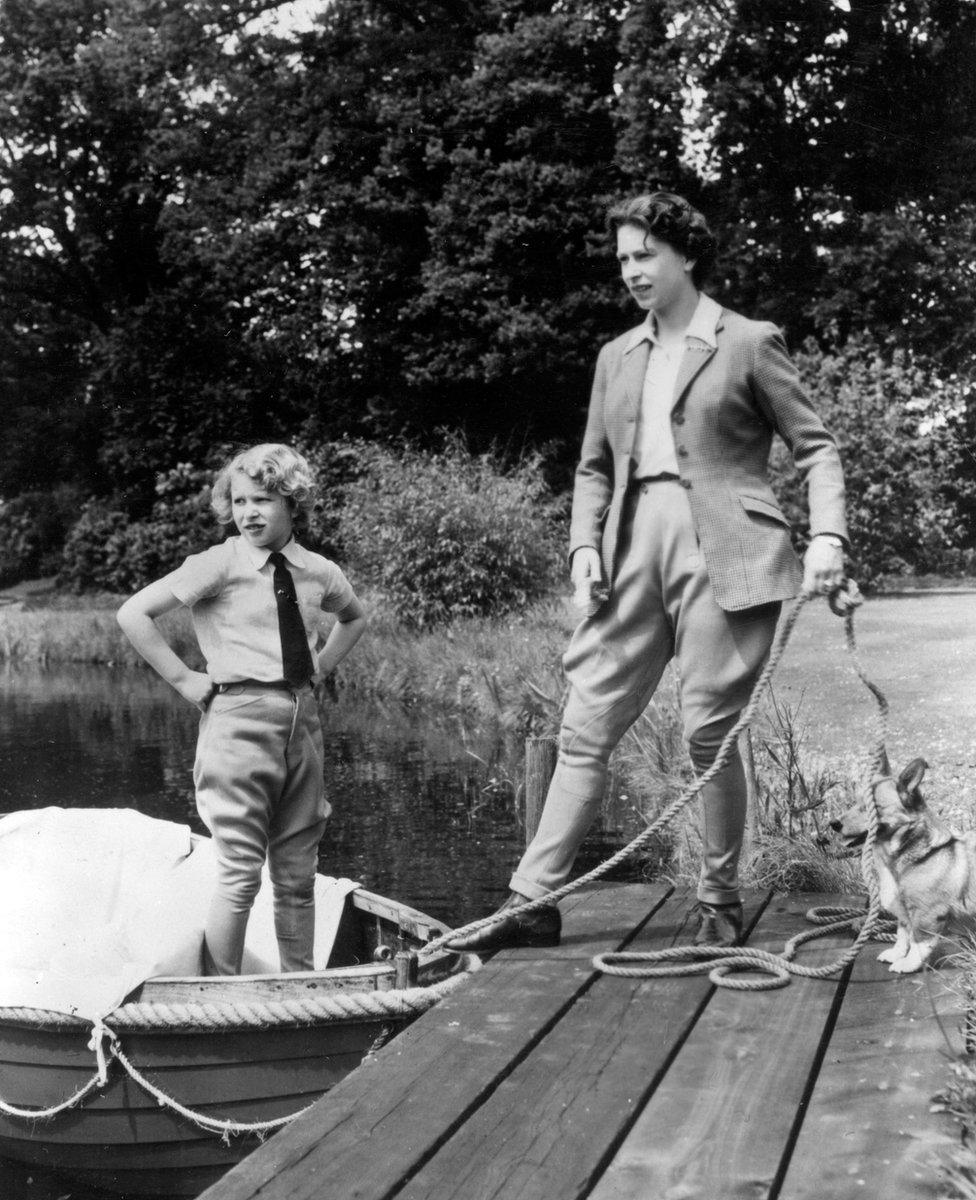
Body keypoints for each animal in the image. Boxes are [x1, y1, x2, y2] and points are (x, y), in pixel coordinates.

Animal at [830, 758, 974, 974]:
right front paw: (896, 954)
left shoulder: (926, 916)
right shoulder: (905, 914)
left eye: (872, 807)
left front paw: (908, 964)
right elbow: (903, 935)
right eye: (856, 803)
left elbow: (918, 943)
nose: (833, 823)